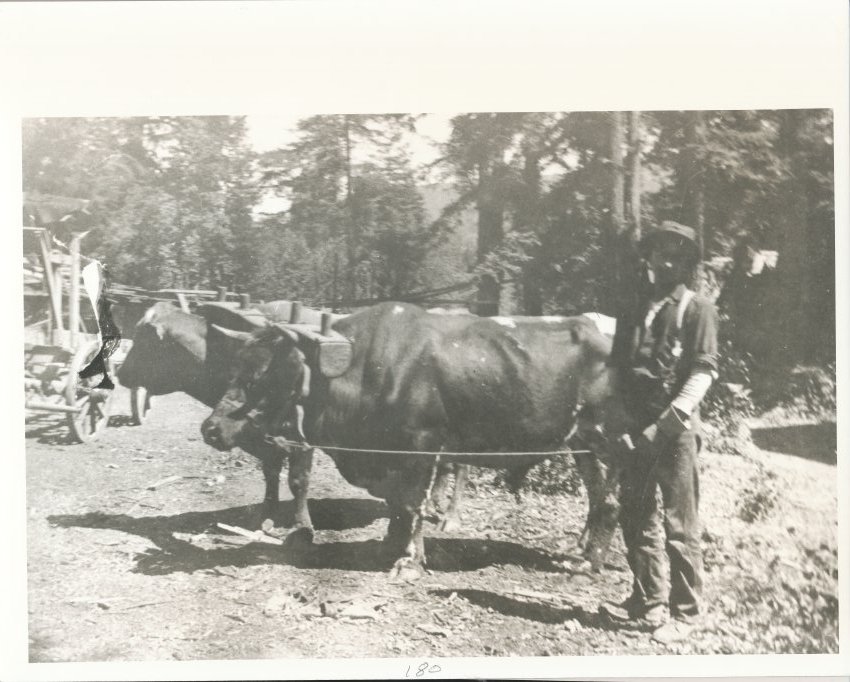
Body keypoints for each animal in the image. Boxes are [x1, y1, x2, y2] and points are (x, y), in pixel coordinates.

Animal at [201, 301, 629, 580]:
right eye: (235, 368)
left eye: (260, 377)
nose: (210, 428)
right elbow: (396, 506)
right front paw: (389, 545)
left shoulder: (421, 446)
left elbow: (412, 505)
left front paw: (409, 560)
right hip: (580, 444)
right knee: (596, 499)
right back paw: (579, 551)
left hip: (609, 440)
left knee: (609, 504)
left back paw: (589, 565)